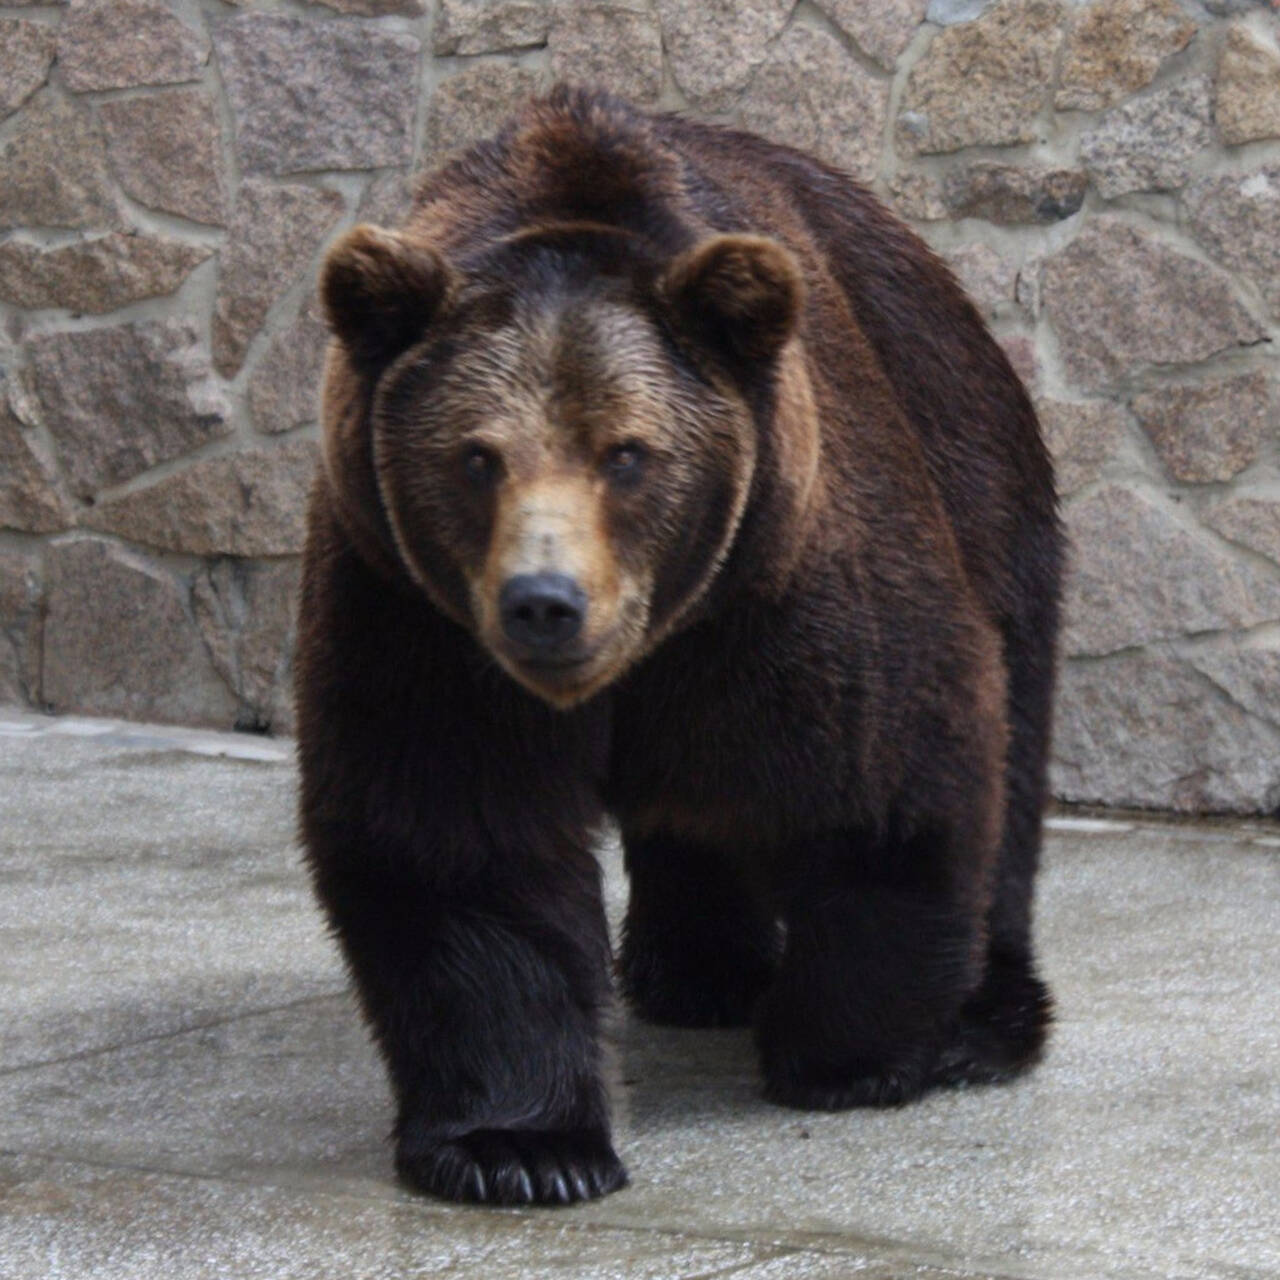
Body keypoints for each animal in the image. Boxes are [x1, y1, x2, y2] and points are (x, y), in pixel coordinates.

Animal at [294, 85, 1064, 1203]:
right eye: (476, 456)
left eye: (627, 453)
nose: (543, 602)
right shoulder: (414, 612)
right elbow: (456, 838)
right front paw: (521, 1146)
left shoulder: (782, 577)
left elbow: (886, 778)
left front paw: (850, 1055)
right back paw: (692, 970)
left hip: (975, 467)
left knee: (1010, 723)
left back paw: (982, 1019)